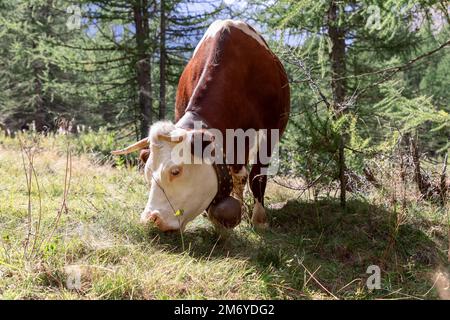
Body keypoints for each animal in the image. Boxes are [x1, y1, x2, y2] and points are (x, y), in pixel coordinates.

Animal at [110, 20, 290, 232]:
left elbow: (257, 176)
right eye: (147, 174)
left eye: (175, 171)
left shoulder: (270, 130)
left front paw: (259, 219)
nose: (151, 219)